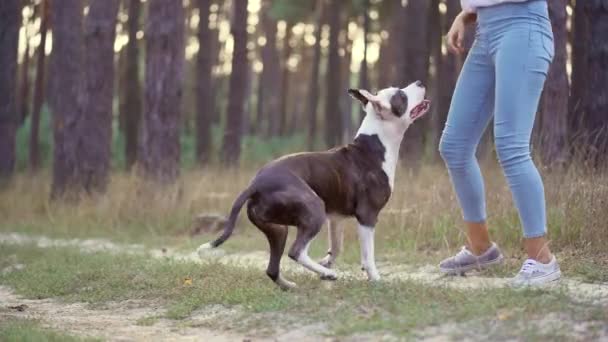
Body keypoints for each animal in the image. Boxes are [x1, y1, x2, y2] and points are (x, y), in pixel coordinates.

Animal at [197, 81, 430, 290]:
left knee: (273, 268)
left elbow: (337, 246)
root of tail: (255, 184)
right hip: (314, 208)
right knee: (296, 251)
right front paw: (375, 279)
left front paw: (326, 262)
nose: (419, 82)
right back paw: (328, 274)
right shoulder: (367, 217)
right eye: (401, 95)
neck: (374, 146)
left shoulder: (335, 218)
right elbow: (368, 255)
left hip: (277, 229)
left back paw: (293, 284)